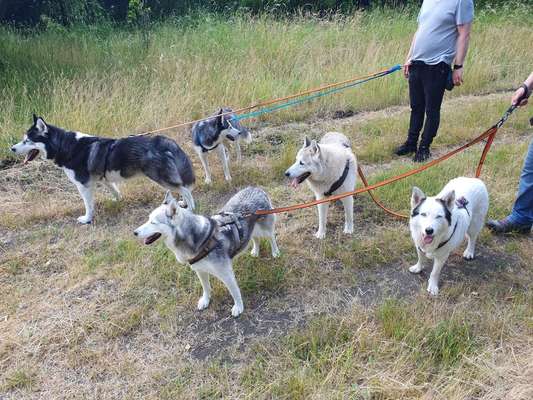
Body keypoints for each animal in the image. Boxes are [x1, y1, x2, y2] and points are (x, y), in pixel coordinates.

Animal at [11, 114, 195, 223]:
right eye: (23, 139)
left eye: (28, 141)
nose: (11, 149)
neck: (66, 146)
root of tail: (163, 141)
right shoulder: (104, 179)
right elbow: (115, 191)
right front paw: (117, 201)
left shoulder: (83, 185)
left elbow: (88, 205)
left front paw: (87, 219)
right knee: (182, 188)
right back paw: (182, 204)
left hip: (160, 177)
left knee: (185, 189)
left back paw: (191, 208)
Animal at [132, 187, 278, 316]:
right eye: (148, 219)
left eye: (153, 222)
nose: (134, 232)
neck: (197, 238)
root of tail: (256, 188)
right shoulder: (200, 270)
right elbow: (206, 288)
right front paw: (206, 301)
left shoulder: (226, 273)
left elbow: (234, 291)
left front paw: (238, 307)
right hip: (251, 229)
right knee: (255, 238)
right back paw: (255, 251)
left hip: (266, 227)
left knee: (271, 237)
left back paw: (275, 252)